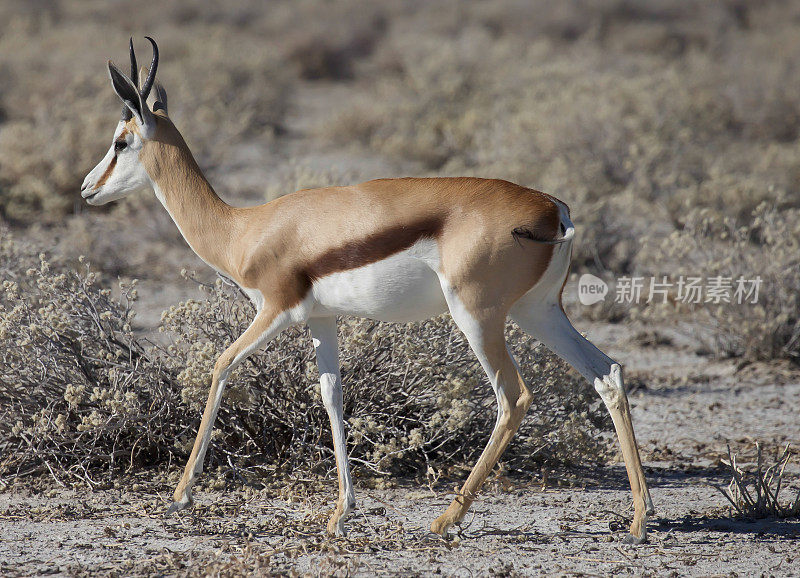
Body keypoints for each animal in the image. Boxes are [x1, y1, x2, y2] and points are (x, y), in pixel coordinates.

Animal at [81, 38, 656, 544]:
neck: (244, 229)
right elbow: (332, 397)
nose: (87, 188)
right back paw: (639, 519)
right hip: (537, 312)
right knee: (607, 373)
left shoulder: (275, 311)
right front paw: (341, 513)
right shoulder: (320, 319)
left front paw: (180, 494)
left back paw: (445, 521)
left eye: (120, 141)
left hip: (477, 316)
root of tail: (554, 209)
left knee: (513, 398)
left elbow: (221, 365)